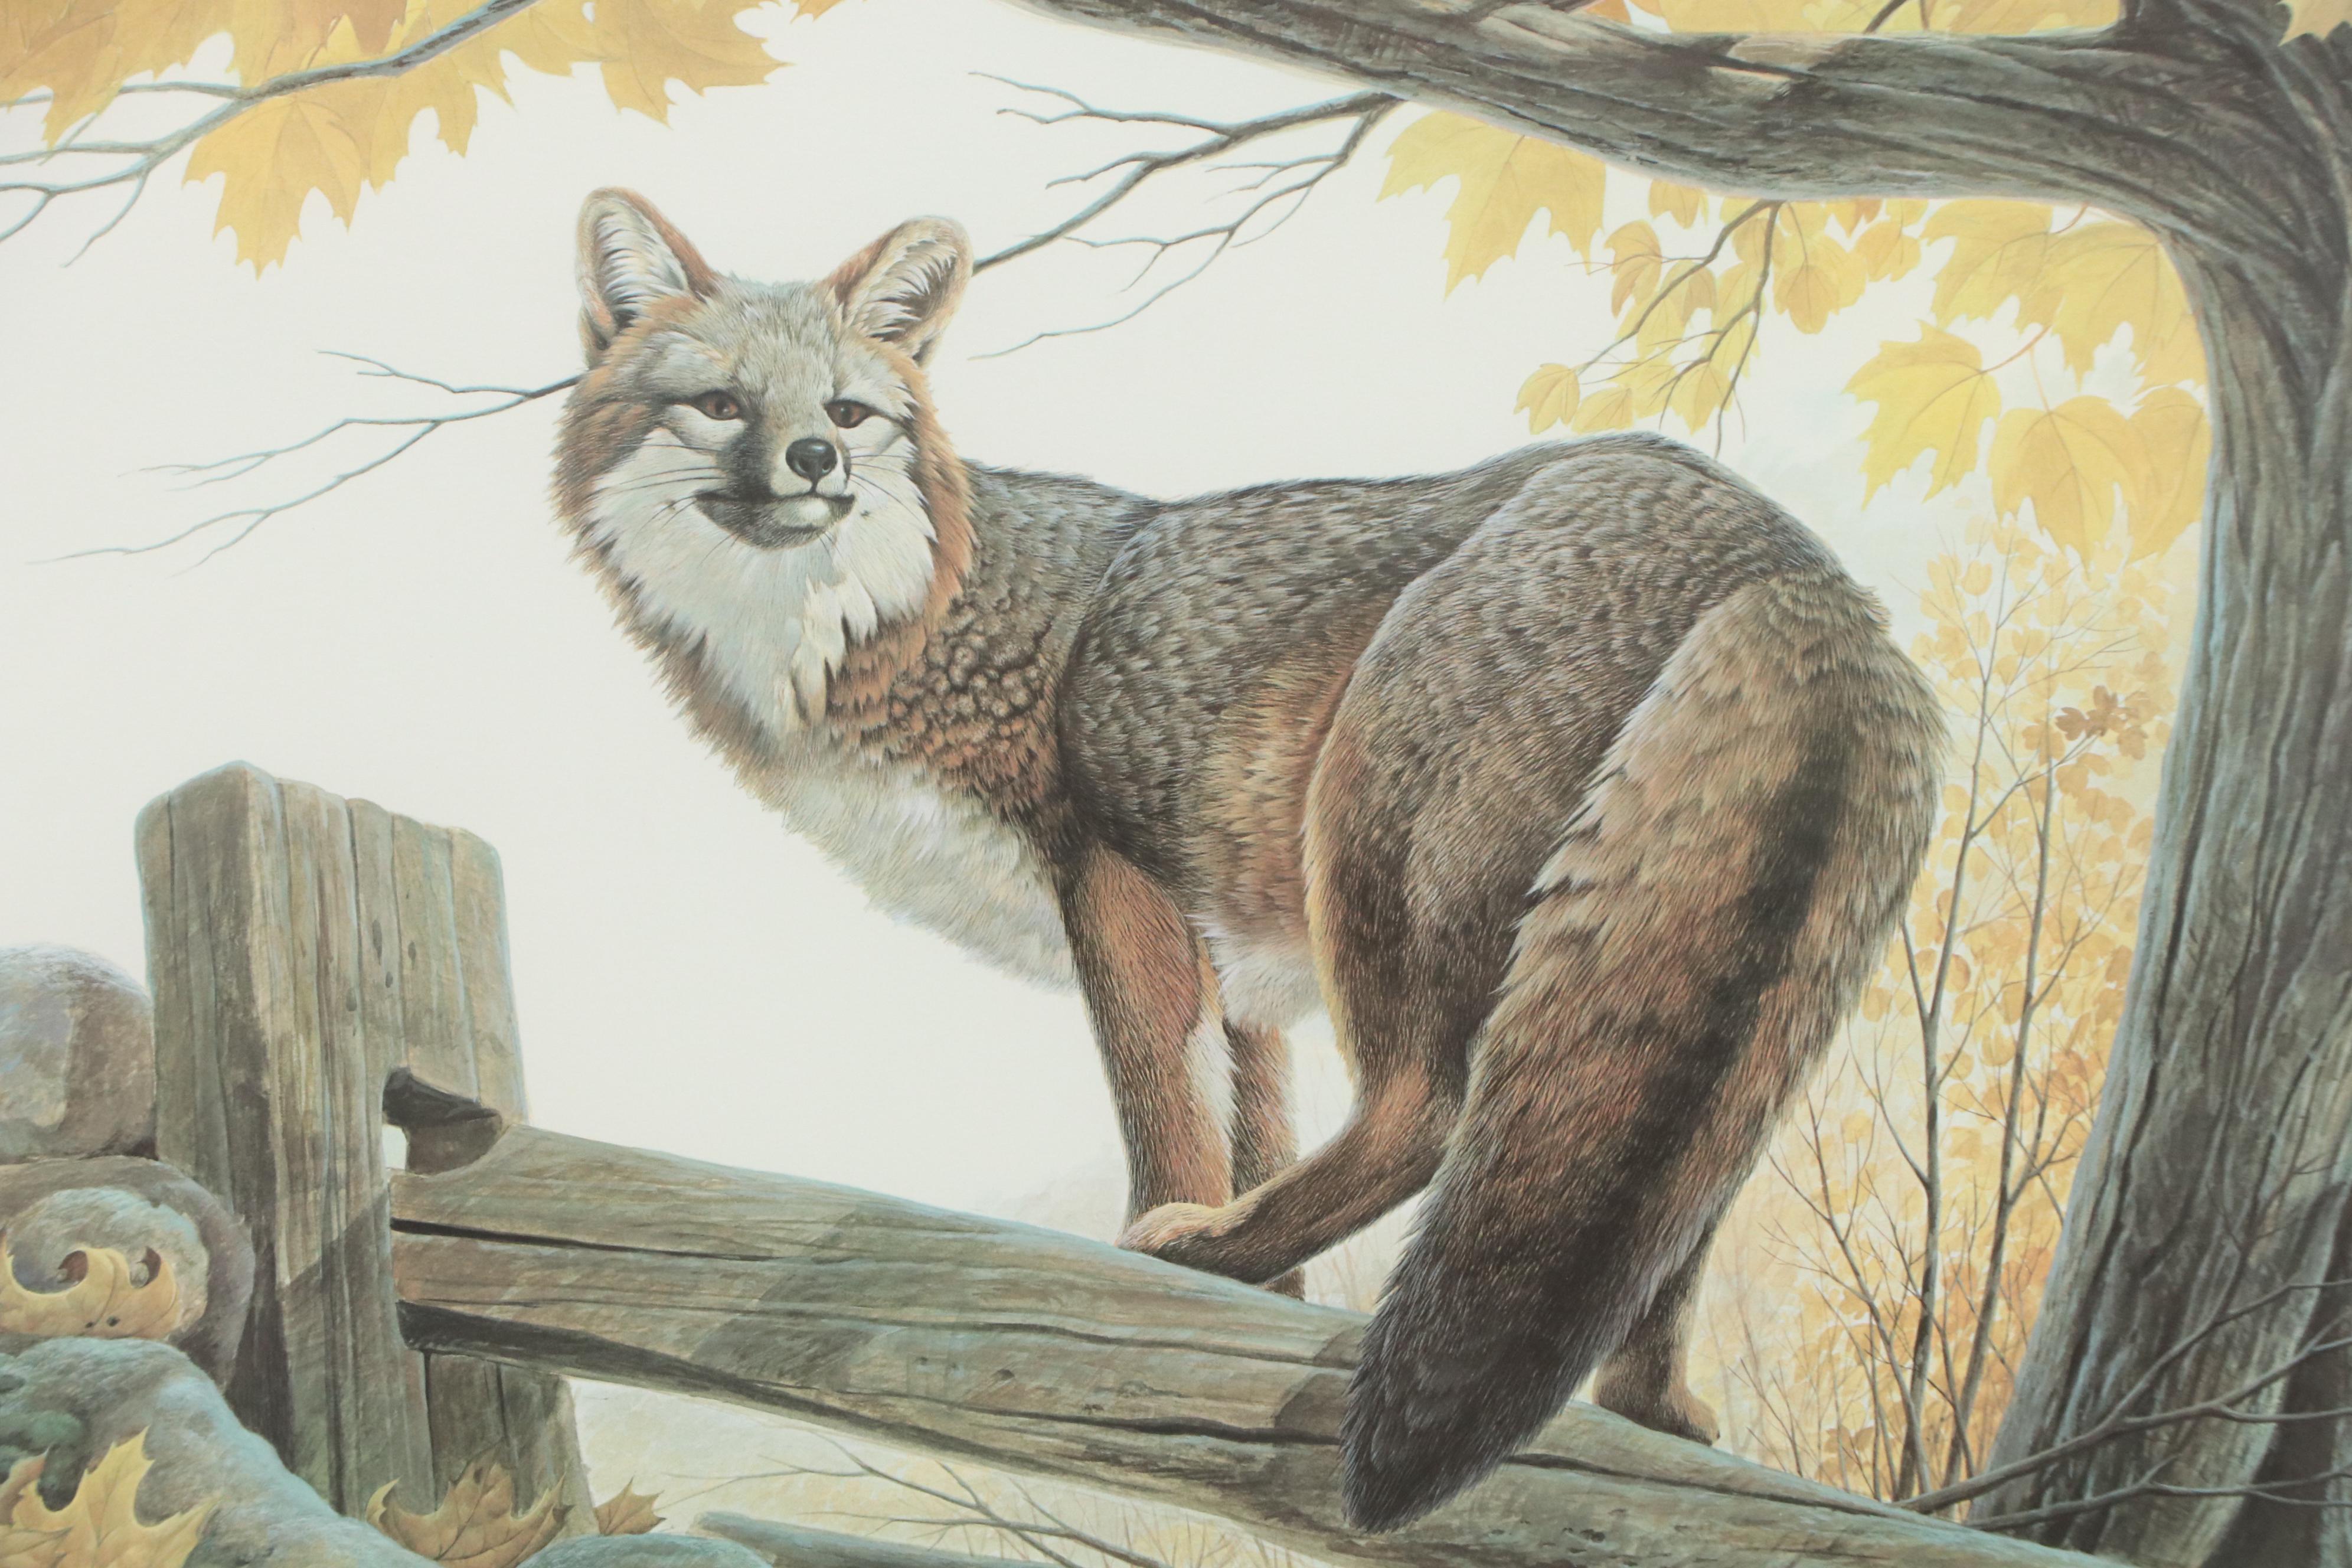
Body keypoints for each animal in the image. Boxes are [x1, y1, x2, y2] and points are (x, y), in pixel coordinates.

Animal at [553, 188, 1944, 1530]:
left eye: (848, 411)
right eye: (724, 404)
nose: (815, 458)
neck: (920, 621)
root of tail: (1793, 559)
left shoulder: (1117, 880)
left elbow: (1164, 1106)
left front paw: (1162, 1262)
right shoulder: (1247, 975)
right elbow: (1258, 1128)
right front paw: (1268, 1302)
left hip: (1378, 855)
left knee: (1426, 1116)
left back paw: (1197, 1248)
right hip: (1732, 1016)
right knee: (1666, 1210)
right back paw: (1653, 1411)